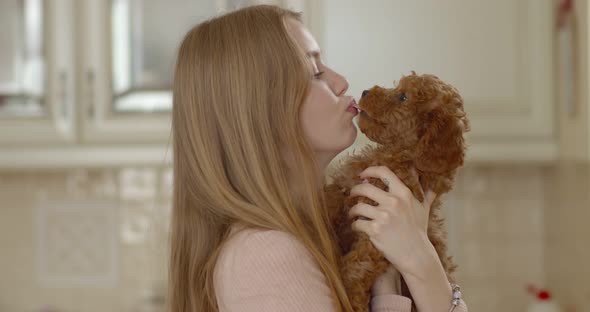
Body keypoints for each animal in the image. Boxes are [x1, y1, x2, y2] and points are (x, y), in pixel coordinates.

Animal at [324, 72, 472, 310]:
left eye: (403, 97)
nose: (365, 91)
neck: (397, 154)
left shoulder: (378, 229)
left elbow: (359, 264)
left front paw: (350, 295)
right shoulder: (347, 185)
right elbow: (330, 197)